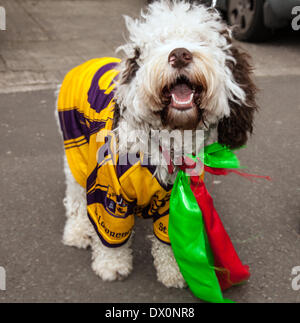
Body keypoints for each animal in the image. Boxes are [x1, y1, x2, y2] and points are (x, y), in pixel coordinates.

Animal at [56, 0, 258, 288]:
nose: (181, 54)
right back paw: (78, 231)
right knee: (74, 195)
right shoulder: (110, 191)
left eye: (202, 40)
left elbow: (169, 238)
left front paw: (173, 271)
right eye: (156, 43)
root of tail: (88, 62)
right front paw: (111, 265)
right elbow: (110, 235)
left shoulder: (175, 198)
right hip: (75, 149)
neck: (169, 144)